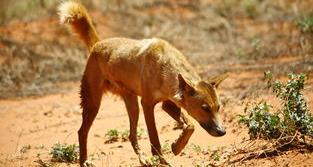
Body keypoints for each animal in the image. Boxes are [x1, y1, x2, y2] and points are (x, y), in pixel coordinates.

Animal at [57, 0, 227, 166]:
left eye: (218, 107)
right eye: (205, 108)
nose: (222, 132)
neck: (165, 66)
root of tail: (97, 44)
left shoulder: (168, 104)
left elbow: (189, 125)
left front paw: (177, 146)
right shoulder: (147, 104)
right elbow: (155, 137)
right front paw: (161, 159)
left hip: (132, 105)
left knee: (132, 136)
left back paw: (143, 159)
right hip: (94, 104)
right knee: (82, 132)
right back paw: (84, 161)